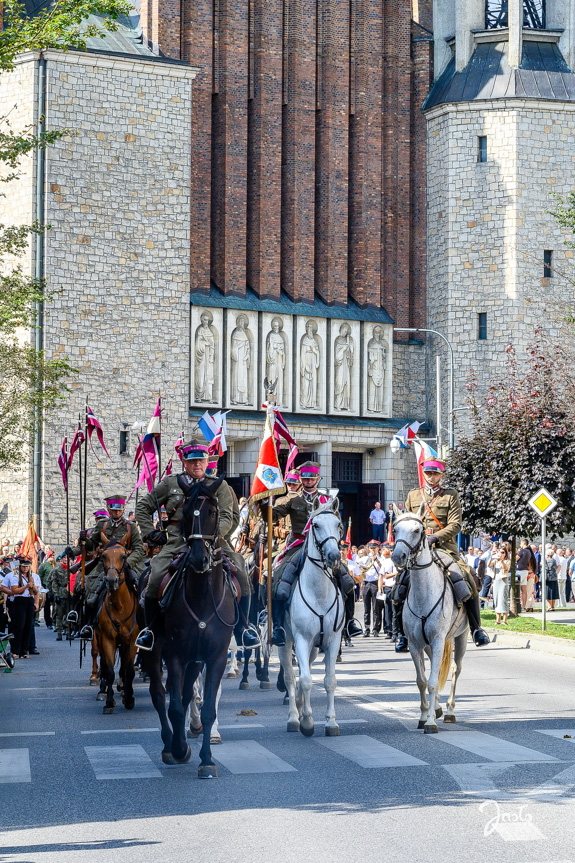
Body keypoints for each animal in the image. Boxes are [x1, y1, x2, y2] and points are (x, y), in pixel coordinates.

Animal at [146, 476, 236, 780]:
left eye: (213, 511)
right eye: (185, 512)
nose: (198, 559)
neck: (202, 595)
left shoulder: (214, 656)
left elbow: (205, 708)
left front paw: (206, 760)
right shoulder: (175, 654)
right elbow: (173, 706)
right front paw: (177, 748)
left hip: (195, 660)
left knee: (186, 695)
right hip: (154, 650)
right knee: (159, 694)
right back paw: (170, 744)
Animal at [276, 496, 344, 740]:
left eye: (338, 524)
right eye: (315, 525)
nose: (334, 557)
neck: (319, 592)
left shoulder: (332, 640)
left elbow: (329, 680)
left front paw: (331, 722)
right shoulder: (302, 639)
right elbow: (304, 681)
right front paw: (307, 721)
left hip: (315, 645)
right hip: (285, 641)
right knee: (290, 676)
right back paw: (293, 717)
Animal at [390, 506, 470, 736]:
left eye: (417, 530)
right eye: (395, 529)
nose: (398, 557)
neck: (423, 593)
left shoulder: (437, 640)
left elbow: (434, 682)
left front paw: (431, 723)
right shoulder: (415, 644)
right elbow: (422, 681)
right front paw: (424, 716)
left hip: (461, 637)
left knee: (455, 669)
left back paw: (450, 711)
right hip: (429, 645)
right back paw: (437, 708)